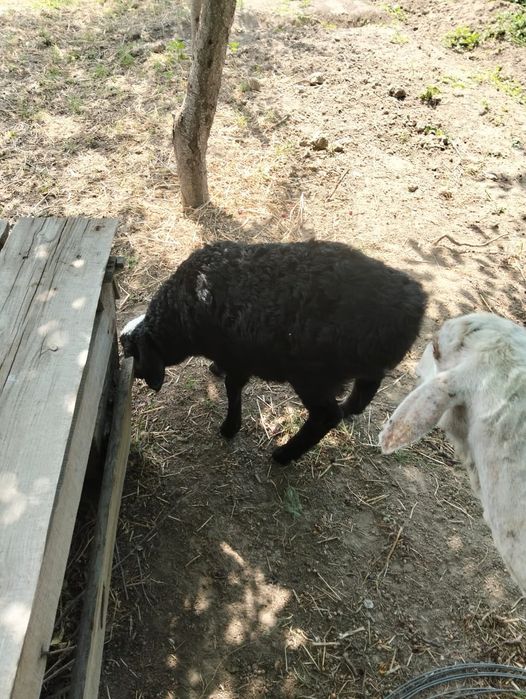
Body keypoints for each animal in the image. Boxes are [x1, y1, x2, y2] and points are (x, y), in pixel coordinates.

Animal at [121, 240, 427, 464]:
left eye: (131, 352)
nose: (135, 377)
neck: (182, 313)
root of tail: (414, 305)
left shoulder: (238, 356)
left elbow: (233, 388)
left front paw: (229, 427)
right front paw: (215, 370)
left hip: (312, 375)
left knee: (326, 416)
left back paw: (284, 455)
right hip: (361, 363)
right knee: (367, 385)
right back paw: (350, 409)